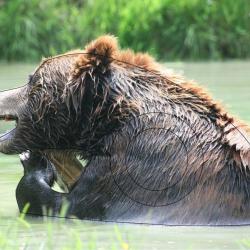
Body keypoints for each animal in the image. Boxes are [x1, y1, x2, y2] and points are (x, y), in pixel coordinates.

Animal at [0, 35, 249, 225]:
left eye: (31, 79)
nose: (2, 94)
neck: (108, 122)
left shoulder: (137, 168)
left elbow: (64, 204)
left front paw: (34, 162)